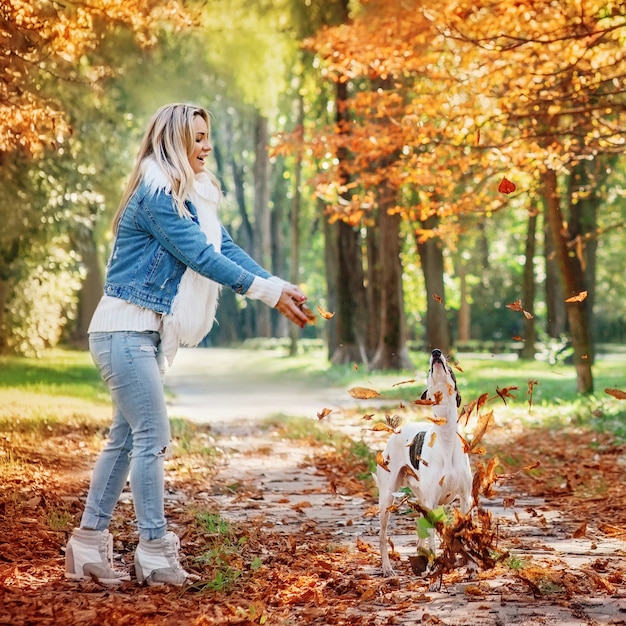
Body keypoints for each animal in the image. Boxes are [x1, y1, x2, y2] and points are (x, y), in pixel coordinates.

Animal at [372, 348, 470, 576]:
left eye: (450, 369)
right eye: (429, 370)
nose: (436, 352)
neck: (445, 440)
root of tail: (398, 430)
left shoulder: (465, 499)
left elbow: (463, 534)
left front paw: (471, 567)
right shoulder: (433, 502)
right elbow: (434, 539)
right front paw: (435, 570)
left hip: (421, 498)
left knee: (420, 532)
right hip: (387, 498)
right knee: (382, 535)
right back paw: (387, 568)